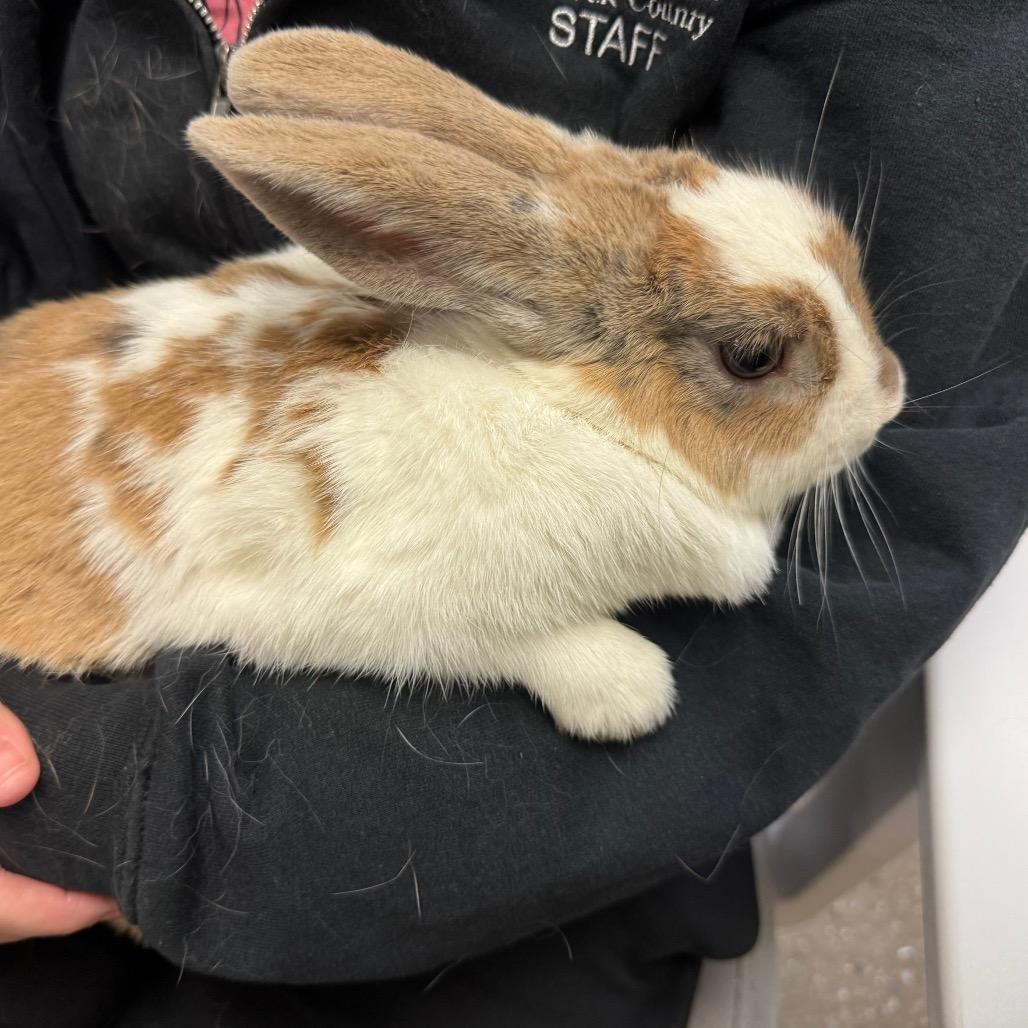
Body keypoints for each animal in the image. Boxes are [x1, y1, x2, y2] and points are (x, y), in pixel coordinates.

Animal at [0, 29, 904, 742]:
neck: (580, 414)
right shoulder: (373, 604)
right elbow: (516, 646)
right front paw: (630, 691)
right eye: (753, 355)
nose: (891, 392)